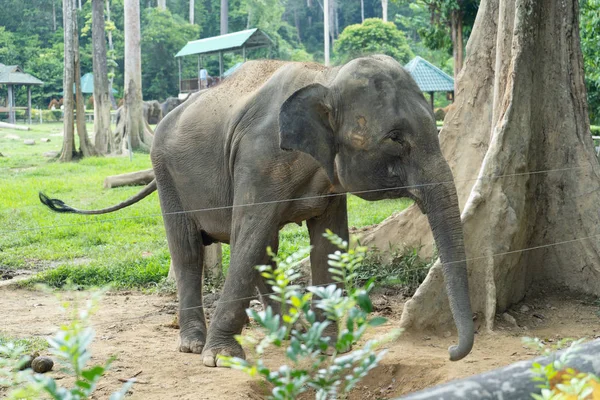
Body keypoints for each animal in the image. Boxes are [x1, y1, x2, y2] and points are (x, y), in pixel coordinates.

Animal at [41, 54, 474, 368]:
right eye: (396, 138)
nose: (451, 352)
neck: (327, 75)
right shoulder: (259, 158)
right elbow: (249, 235)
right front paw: (219, 358)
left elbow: (326, 245)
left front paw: (330, 348)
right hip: (166, 173)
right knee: (190, 251)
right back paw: (193, 343)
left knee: (264, 247)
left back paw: (287, 334)